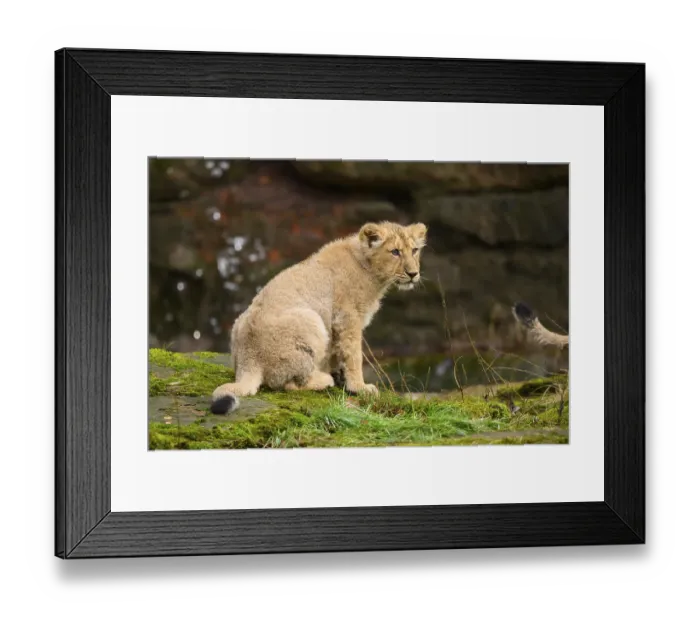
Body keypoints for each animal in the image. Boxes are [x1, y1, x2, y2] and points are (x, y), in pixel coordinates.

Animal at [210, 221, 428, 414]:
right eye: (395, 252)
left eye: (414, 250)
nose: (413, 274)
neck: (370, 271)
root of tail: (249, 360)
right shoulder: (347, 318)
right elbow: (353, 355)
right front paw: (359, 387)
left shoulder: (336, 325)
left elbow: (335, 353)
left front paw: (341, 377)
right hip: (311, 319)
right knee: (289, 385)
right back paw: (324, 380)